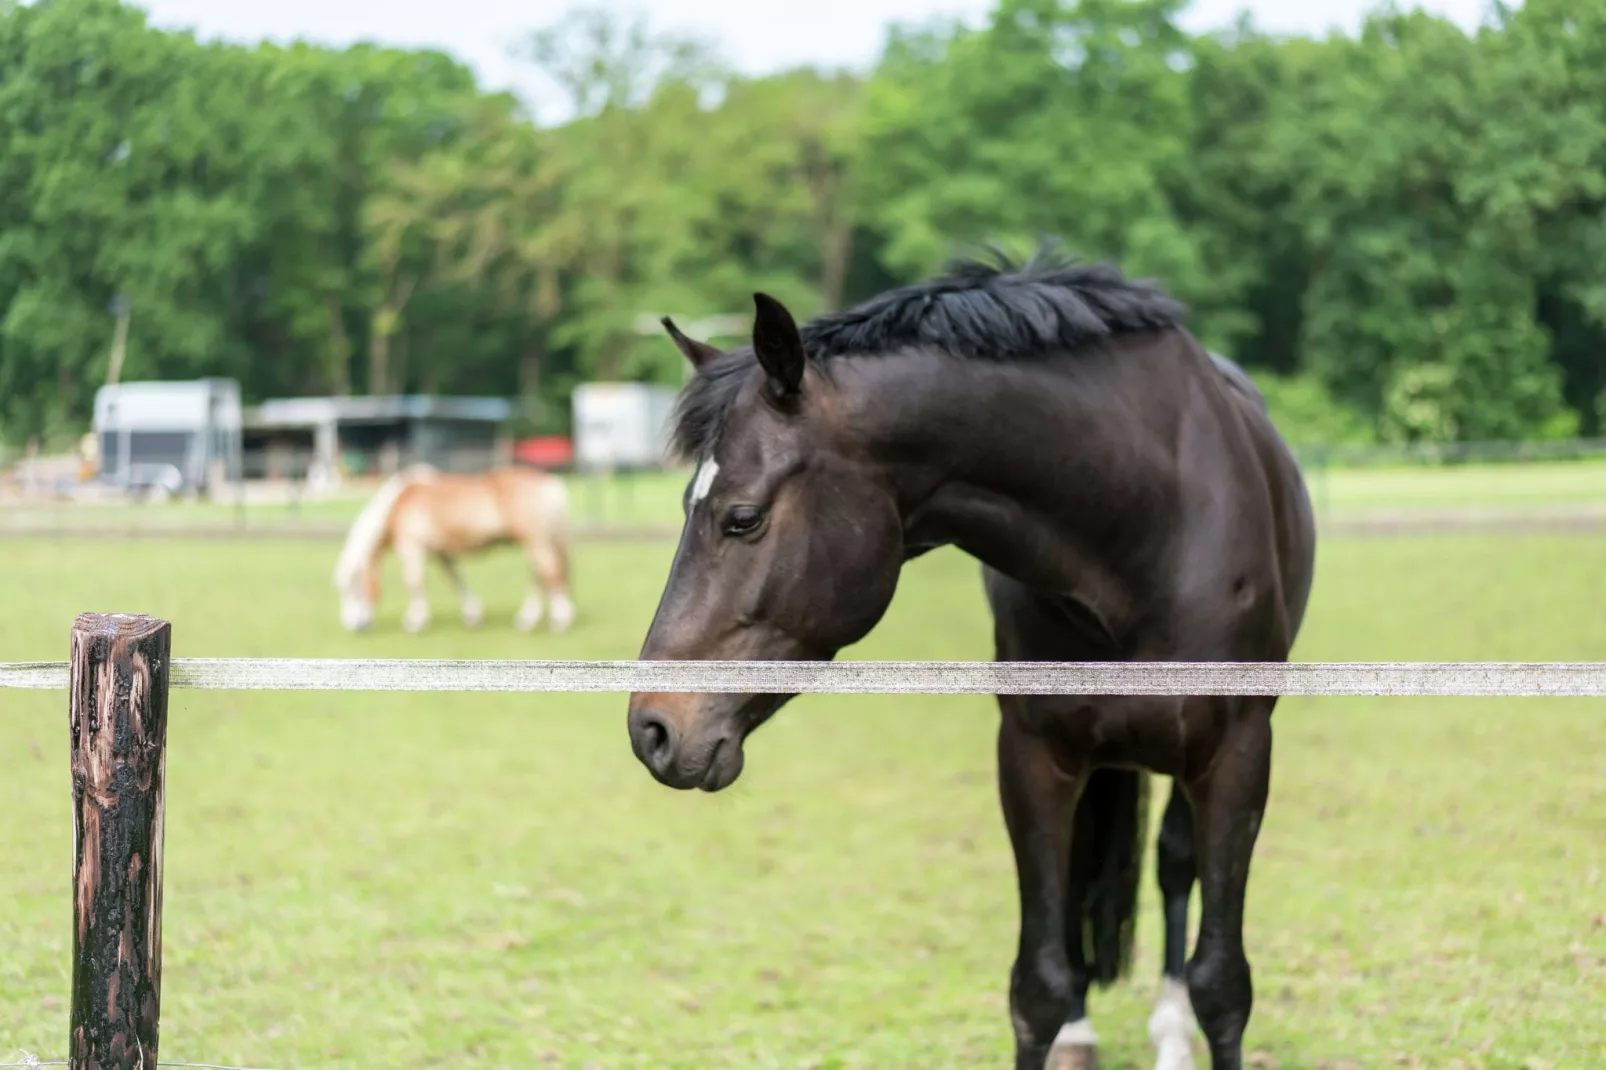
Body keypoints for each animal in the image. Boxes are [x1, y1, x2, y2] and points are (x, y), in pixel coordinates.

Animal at [329, 459, 574, 629]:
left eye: (352, 589)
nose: (353, 626)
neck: (399, 504)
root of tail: (550, 483)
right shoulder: (442, 552)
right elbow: (456, 578)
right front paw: (473, 614)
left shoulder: (412, 548)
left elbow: (414, 582)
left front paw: (415, 622)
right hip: (539, 541)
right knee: (540, 576)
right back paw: (528, 619)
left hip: (536, 540)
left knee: (549, 573)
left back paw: (560, 619)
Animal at [626, 240, 1316, 1066]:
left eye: (743, 518)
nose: (653, 728)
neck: (1146, 525)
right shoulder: (1033, 756)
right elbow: (1038, 985)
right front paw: (1064, 1019)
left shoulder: (1238, 754)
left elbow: (1223, 985)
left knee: (1174, 865)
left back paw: (1170, 1030)